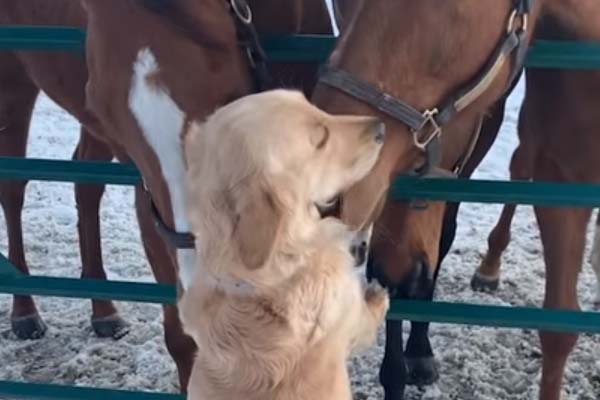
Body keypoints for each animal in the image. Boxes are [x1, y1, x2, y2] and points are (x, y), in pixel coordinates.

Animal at [0, 0, 330, 392]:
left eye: (233, 99)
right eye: (102, 108)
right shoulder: (152, 206)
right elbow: (184, 340)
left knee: (85, 184)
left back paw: (103, 310)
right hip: (12, 85)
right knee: (12, 190)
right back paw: (24, 311)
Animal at [180, 90, 392, 400]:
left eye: (313, 106)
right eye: (320, 139)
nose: (381, 128)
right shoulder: (349, 312)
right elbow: (367, 315)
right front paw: (378, 296)